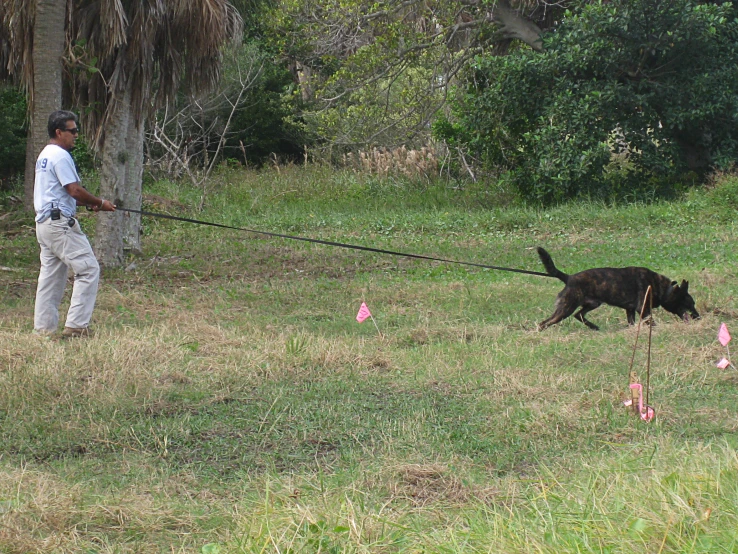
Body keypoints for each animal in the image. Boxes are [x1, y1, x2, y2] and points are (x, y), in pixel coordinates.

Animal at [536, 247, 696, 330]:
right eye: (690, 303)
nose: (698, 317)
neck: (663, 289)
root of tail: (569, 278)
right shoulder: (643, 309)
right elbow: (651, 322)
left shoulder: (630, 310)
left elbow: (632, 323)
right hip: (565, 309)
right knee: (544, 323)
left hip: (592, 304)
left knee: (578, 315)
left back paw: (594, 327)